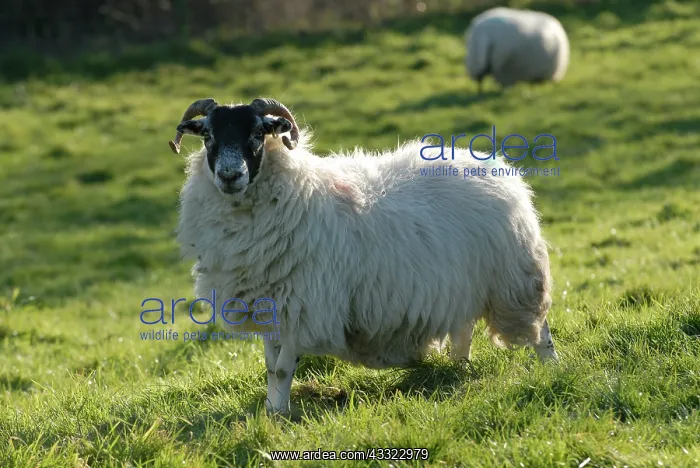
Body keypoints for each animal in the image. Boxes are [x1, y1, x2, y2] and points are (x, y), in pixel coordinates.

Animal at [168, 97, 560, 415]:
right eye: (208, 136)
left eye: (257, 134)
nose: (229, 176)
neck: (297, 192)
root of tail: (494, 165)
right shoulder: (270, 304)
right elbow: (270, 367)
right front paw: (270, 410)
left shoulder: (304, 306)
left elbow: (281, 368)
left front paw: (277, 416)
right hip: (462, 282)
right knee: (463, 326)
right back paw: (458, 367)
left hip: (514, 276)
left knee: (539, 328)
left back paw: (551, 366)